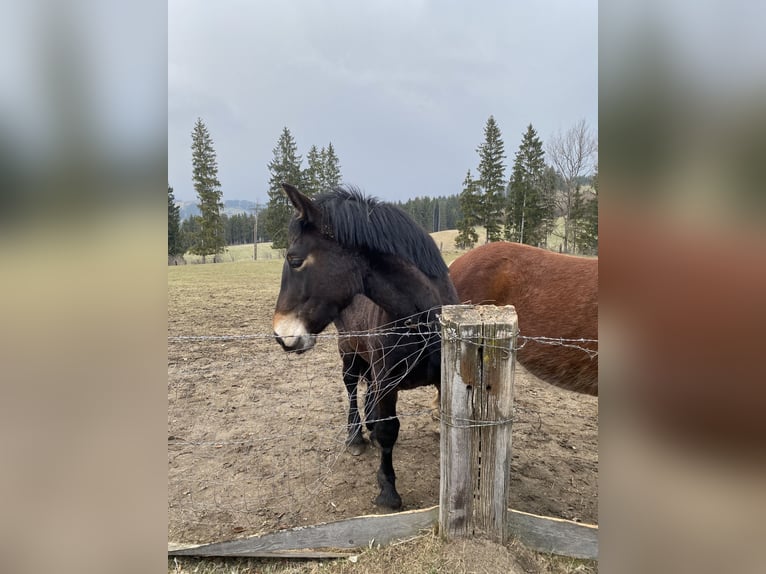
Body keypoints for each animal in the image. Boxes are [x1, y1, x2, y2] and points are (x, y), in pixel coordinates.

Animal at [272, 183, 459, 509]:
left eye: (295, 260)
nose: (281, 334)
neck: (423, 320)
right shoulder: (387, 380)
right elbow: (388, 430)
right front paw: (388, 490)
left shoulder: (441, 378)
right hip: (348, 351)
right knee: (351, 387)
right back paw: (356, 435)